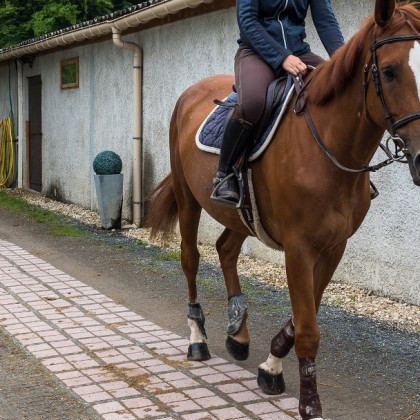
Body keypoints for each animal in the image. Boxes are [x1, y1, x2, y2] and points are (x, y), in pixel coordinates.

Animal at [146, 1, 420, 418]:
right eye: (389, 71)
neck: (327, 145)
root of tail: (190, 93)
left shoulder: (333, 248)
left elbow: (304, 316)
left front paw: (271, 365)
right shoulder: (299, 248)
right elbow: (308, 328)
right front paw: (309, 402)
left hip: (241, 215)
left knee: (226, 249)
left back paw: (239, 334)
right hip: (188, 198)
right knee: (191, 259)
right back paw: (198, 338)